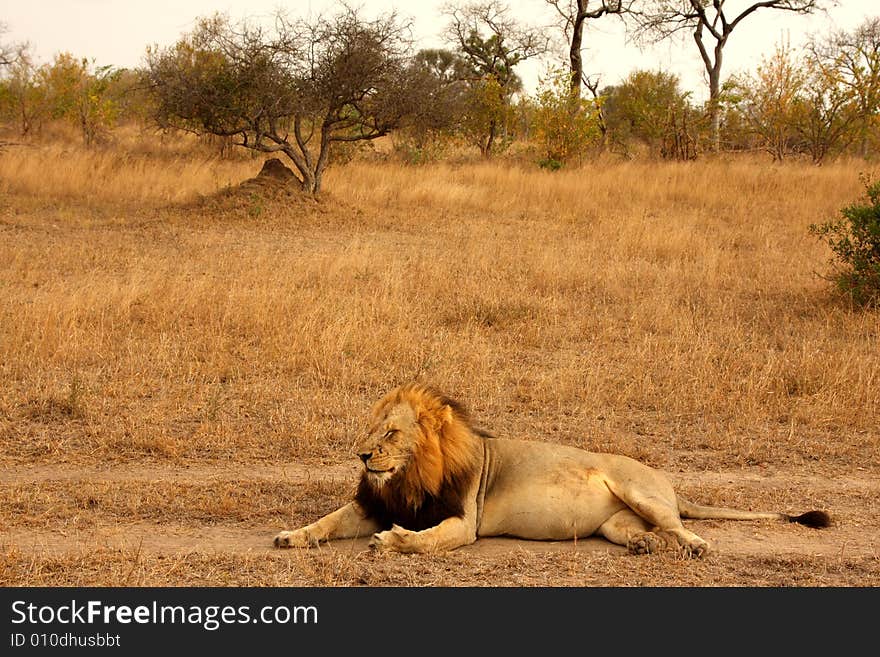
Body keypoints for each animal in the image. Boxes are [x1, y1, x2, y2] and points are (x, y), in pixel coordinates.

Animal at [276, 382, 832, 556]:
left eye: (391, 434)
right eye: (370, 429)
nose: (362, 456)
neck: (407, 480)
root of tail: (669, 483)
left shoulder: (463, 522)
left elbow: (425, 540)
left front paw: (393, 540)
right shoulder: (371, 503)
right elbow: (326, 522)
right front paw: (291, 536)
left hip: (639, 491)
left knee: (681, 528)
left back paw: (693, 546)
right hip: (615, 522)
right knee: (645, 531)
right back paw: (644, 545)